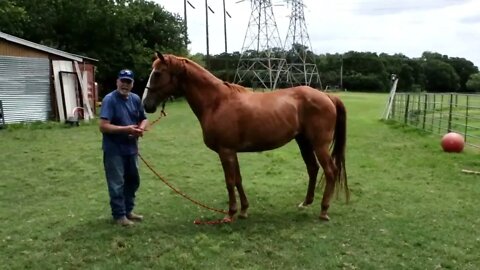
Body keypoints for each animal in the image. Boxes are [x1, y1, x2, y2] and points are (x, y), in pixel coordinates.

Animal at [142, 53, 348, 221]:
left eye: (158, 73)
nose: (146, 104)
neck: (216, 102)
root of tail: (327, 96)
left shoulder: (225, 151)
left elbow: (229, 181)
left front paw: (231, 213)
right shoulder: (232, 151)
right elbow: (238, 180)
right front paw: (243, 210)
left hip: (319, 145)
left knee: (330, 171)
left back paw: (323, 210)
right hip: (303, 141)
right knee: (313, 168)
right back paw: (306, 203)